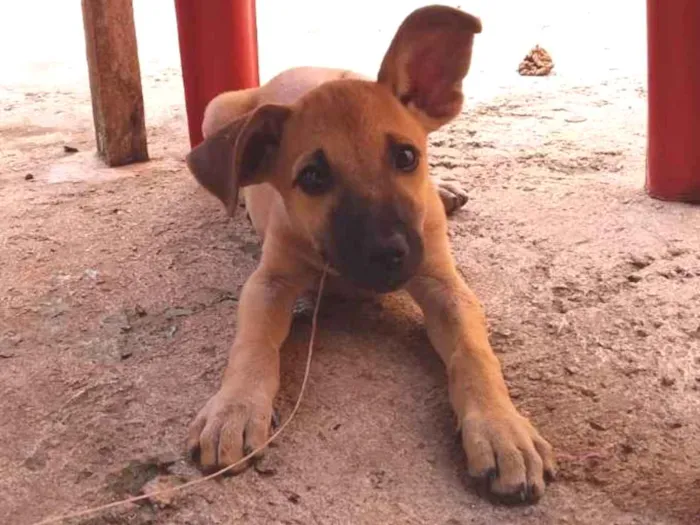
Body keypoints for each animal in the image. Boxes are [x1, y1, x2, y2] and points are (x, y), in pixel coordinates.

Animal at [183, 5, 556, 504]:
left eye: (406, 157)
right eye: (313, 177)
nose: (387, 254)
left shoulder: (445, 285)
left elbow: (475, 353)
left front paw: (501, 429)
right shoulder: (268, 283)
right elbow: (253, 344)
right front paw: (235, 409)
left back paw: (443, 188)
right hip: (217, 107)